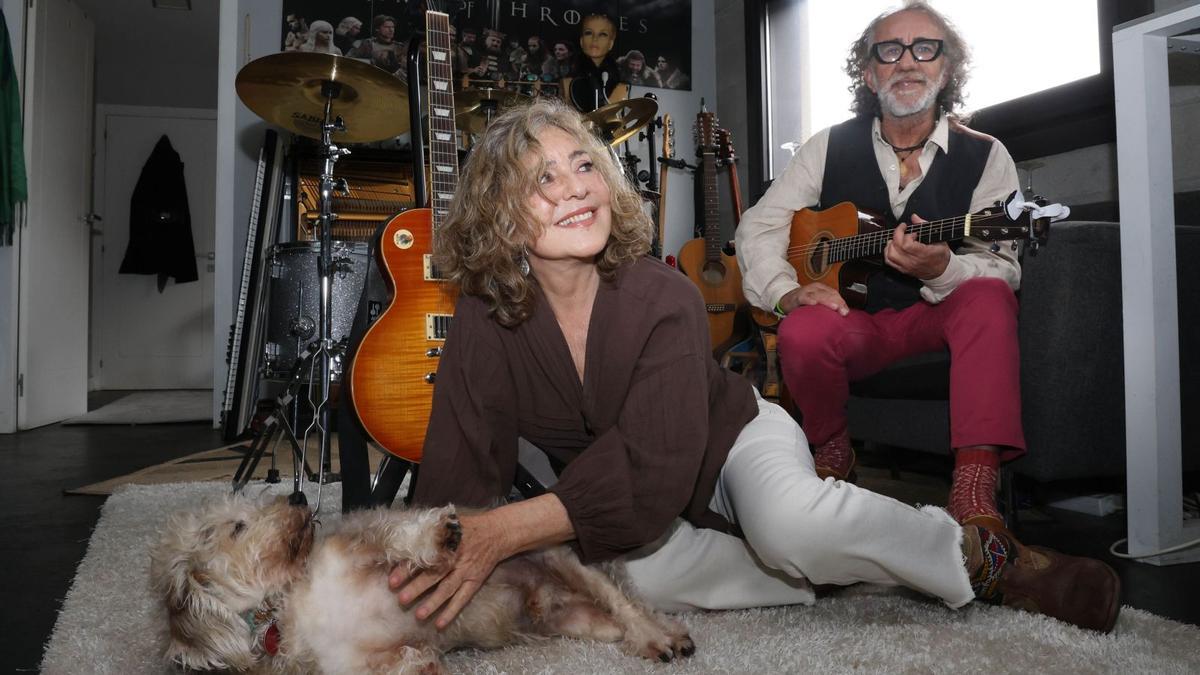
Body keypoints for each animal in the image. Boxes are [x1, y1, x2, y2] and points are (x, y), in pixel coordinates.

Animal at [150, 492, 696, 667]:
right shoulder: (357, 667)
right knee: (615, 618)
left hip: (563, 559)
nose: (299, 498)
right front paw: (425, 663)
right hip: (580, 622)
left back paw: (663, 637)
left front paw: (439, 535)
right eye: (236, 527)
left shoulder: (362, 543)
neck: (291, 601)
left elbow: (401, 536)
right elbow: (406, 663)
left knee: (629, 604)